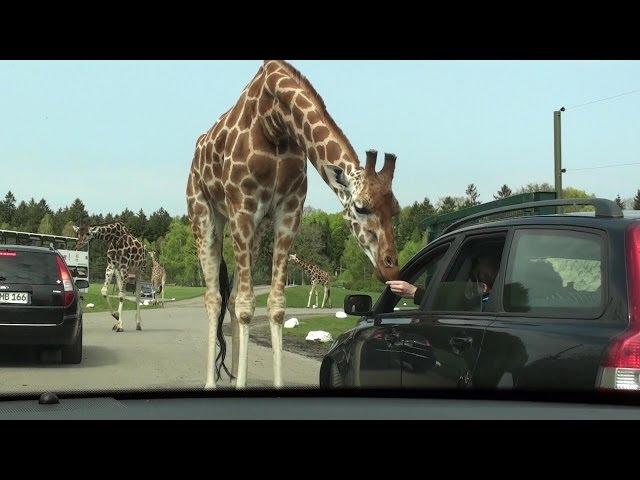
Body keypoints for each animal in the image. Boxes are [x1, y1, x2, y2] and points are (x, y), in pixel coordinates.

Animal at [185, 60, 400, 390]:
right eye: (361, 207)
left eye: (397, 210)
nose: (391, 268)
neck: (275, 122)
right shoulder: (242, 207)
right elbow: (246, 306)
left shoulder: (289, 209)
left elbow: (275, 305)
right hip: (204, 213)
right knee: (214, 298)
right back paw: (211, 383)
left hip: (258, 228)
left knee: (231, 299)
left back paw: (232, 376)